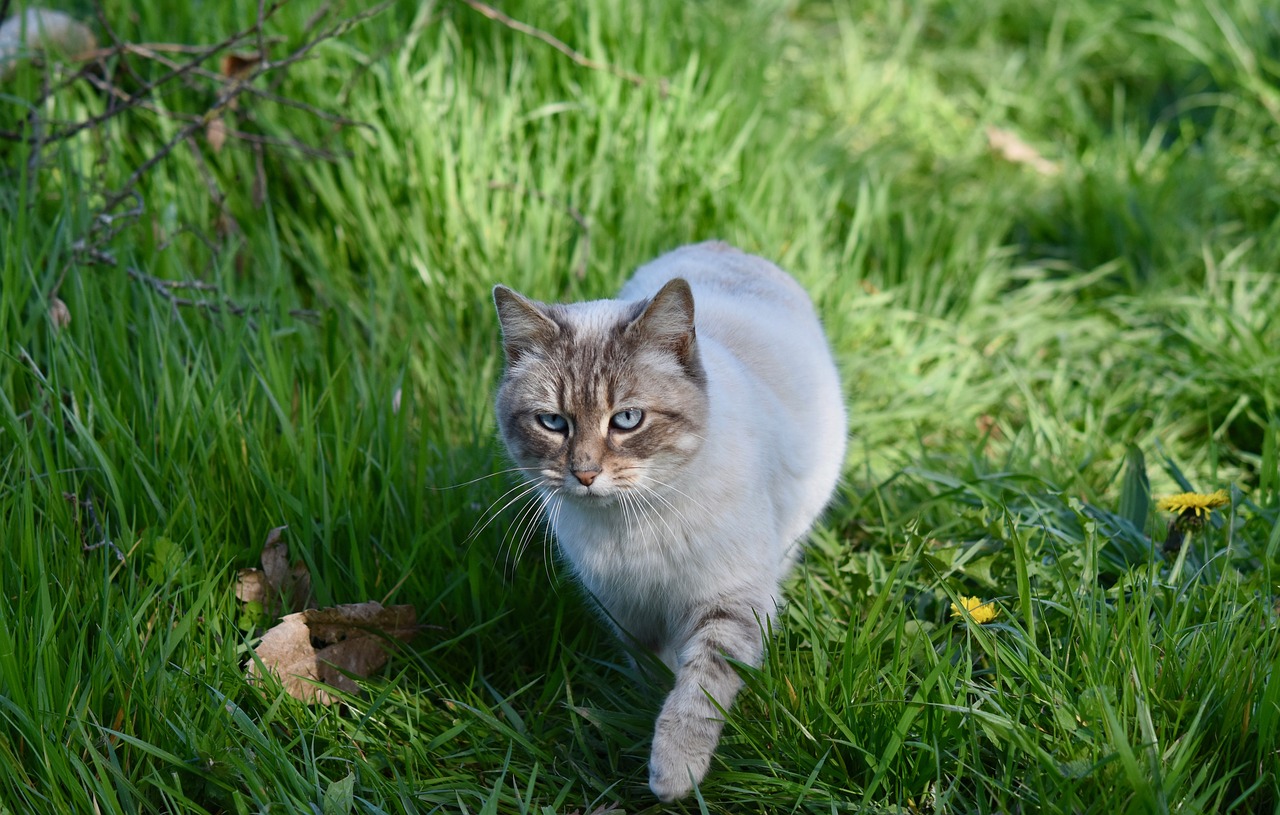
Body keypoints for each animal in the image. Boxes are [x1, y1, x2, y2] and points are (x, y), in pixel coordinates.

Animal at [491, 241, 849, 803]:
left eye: (626, 420)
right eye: (552, 422)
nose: (585, 474)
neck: (631, 525)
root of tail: (722, 245)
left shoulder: (730, 601)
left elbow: (698, 689)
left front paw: (673, 776)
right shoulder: (625, 608)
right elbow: (654, 669)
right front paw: (647, 706)